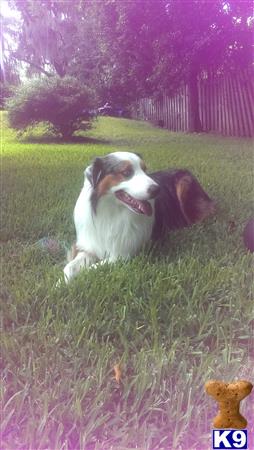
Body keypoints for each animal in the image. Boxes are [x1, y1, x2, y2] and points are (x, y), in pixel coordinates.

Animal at [63, 153, 214, 284]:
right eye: (126, 172)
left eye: (145, 170)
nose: (157, 189)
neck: (111, 212)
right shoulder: (89, 246)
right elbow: (69, 268)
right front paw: (62, 285)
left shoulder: (123, 255)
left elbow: (91, 270)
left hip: (185, 186)